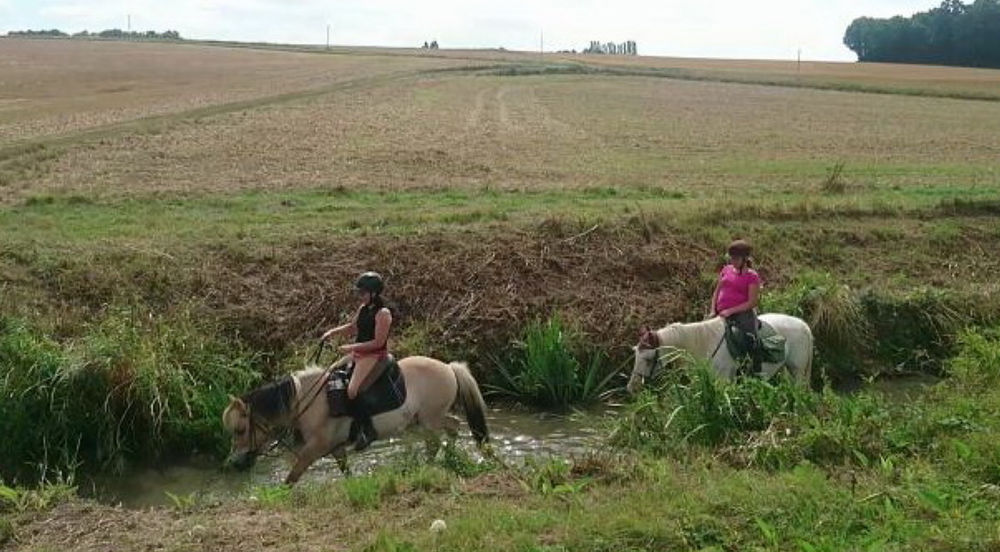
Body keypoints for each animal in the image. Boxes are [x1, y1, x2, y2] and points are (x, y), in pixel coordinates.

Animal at [226, 356, 492, 486]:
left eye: (240, 429)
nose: (234, 463)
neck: (310, 400)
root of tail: (448, 367)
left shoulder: (314, 449)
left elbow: (293, 475)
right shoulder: (336, 447)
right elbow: (345, 470)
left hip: (429, 419)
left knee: (442, 436)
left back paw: (432, 464)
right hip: (424, 420)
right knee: (451, 429)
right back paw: (442, 459)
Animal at [628, 312, 816, 394]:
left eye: (647, 359)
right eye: (636, 355)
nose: (631, 387)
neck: (703, 344)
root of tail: (804, 325)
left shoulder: (723, 381)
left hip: (798, 370)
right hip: (787, 369)